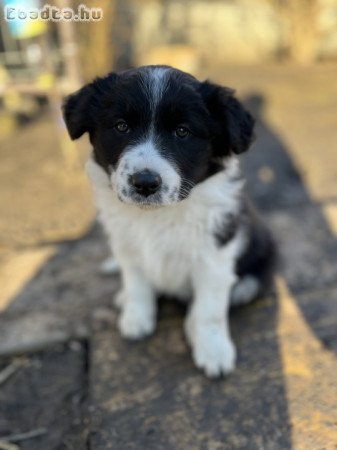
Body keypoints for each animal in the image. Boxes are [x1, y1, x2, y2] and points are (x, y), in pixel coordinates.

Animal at [62, 65, 272, 378]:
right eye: (121, 126)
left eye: (182, 131)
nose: (145, 183)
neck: (157, 215)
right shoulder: (127, 246)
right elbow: (137, 283)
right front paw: (136, 318)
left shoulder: (214, 254)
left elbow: (209, 310)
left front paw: (213, 350)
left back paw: (239, 292)